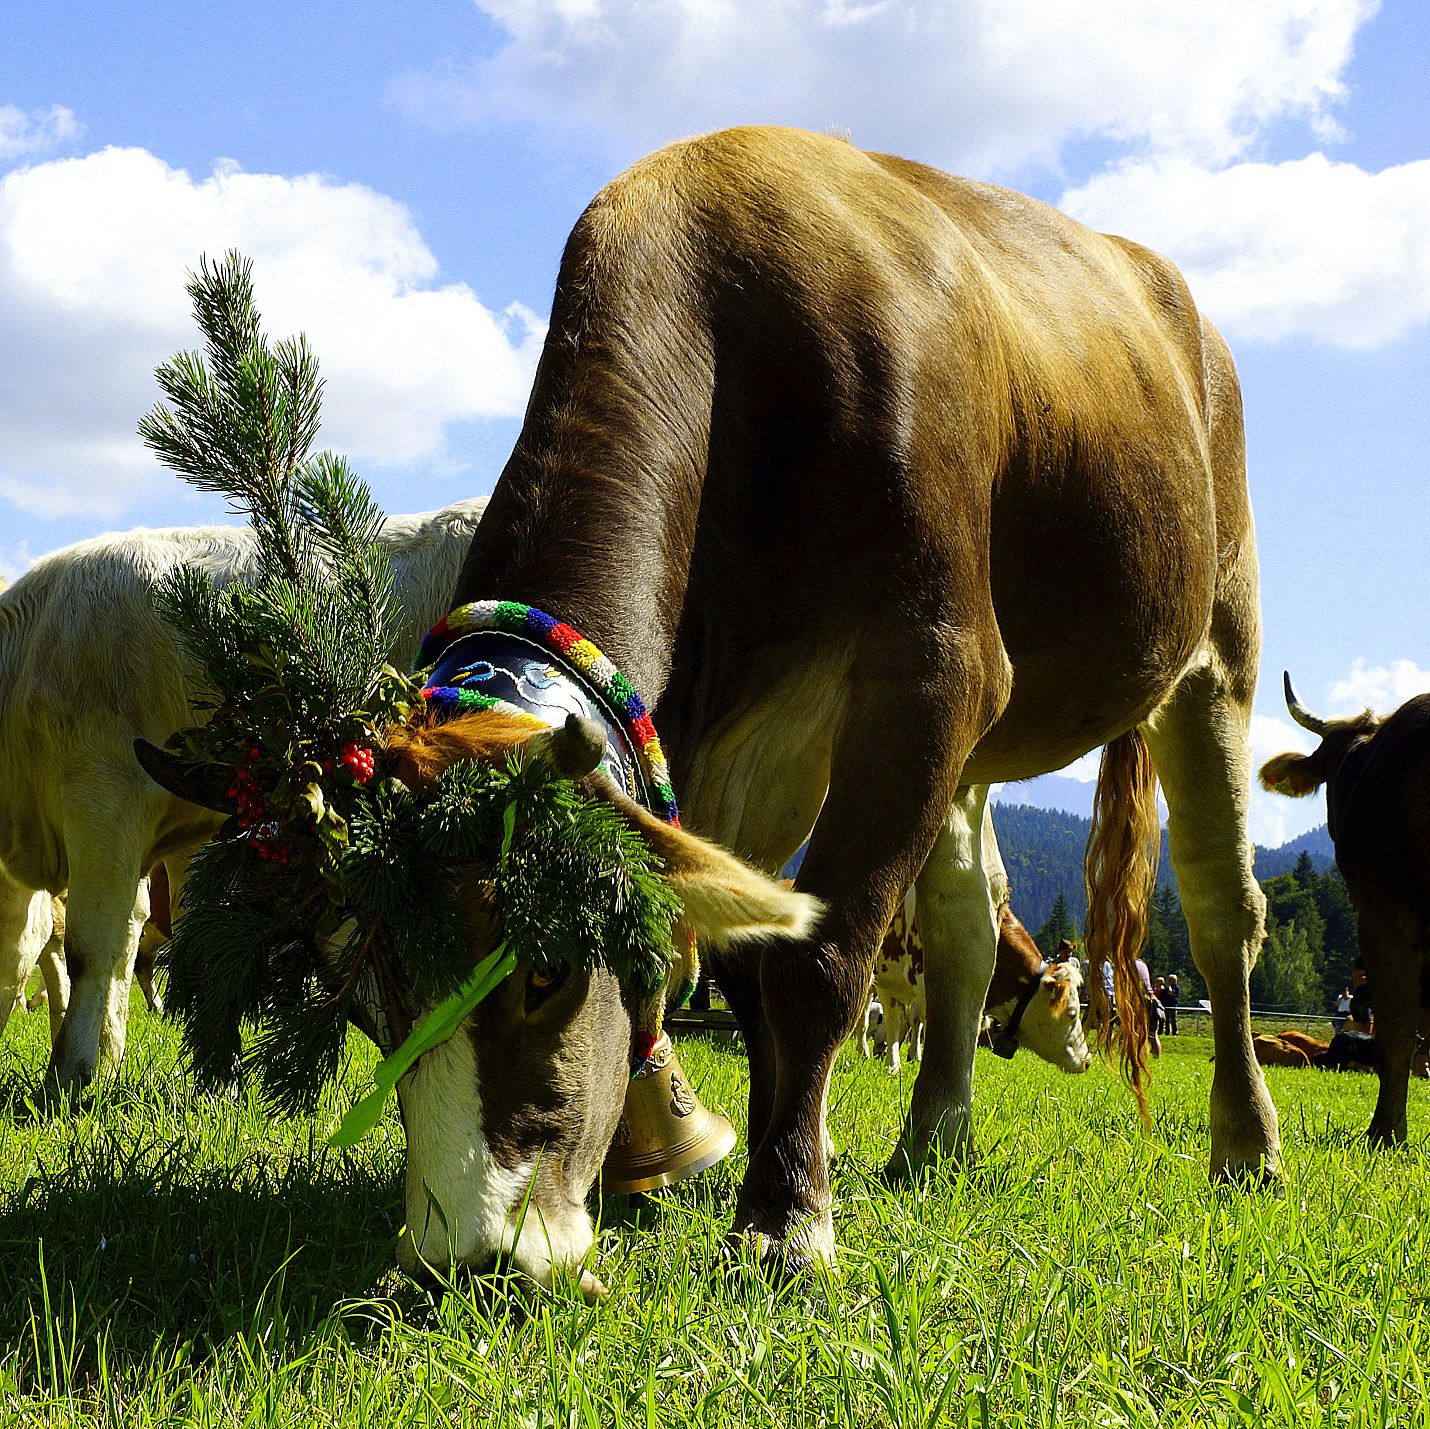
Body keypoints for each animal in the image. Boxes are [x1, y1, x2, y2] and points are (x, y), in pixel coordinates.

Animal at [150, 125, 1281, 1287]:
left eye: (546, 968)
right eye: (367, 994)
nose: (466, 1259)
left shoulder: (932, 669)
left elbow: (819, 956)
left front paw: (787, 1218)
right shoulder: (738, 744)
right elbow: (745, 956)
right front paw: (771, 1166)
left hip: (1216, 638)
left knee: (1221, 908)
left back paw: (1245, 1145)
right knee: (967, 924)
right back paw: (931, 1140)